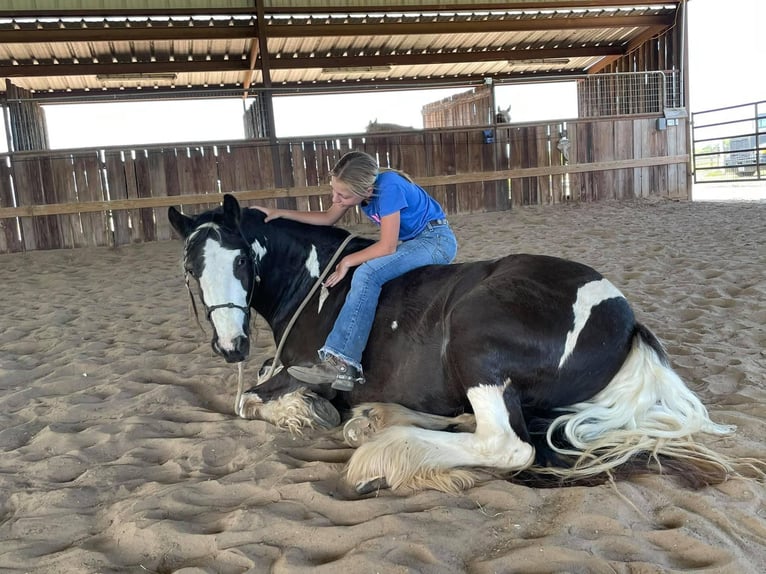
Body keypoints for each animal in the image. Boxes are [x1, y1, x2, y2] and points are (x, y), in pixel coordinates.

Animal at [166, 195, 744, 496]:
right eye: (190, 268)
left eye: (243, 259)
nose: (231, 344)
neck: (317, 281)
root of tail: (623, 319)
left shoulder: (306, 370)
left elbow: (250, 400)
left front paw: (304, 412)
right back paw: (379, 421)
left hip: (476, 345)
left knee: (508, 445)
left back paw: (386, 449)